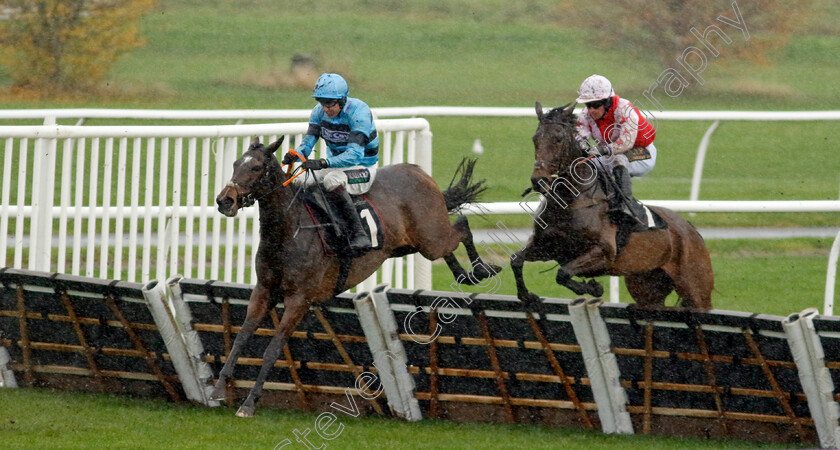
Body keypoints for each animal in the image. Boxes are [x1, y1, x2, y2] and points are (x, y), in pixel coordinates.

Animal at [213, 138, 498, 418]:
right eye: (236, 163)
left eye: (256, 167)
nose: (224, 200)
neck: (289, 230)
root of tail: (416, 170)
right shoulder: (264, 290)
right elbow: (241, 338)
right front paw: (217, 389)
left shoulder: (299, 299)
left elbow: (273, 348)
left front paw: (249, 403)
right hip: (410, 244)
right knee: (450, 242)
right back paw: (465, 274)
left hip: (431, 239)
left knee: (462, 226)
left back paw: (482, 270)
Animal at [508, 104, 712, 310]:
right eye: (535, 139)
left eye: (558, 139)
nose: (538, 180)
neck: (571, 202)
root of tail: (691, 230)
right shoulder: (547, 246)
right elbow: (516, 259)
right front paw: (527, 295)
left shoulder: (604, 252)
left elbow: (563, 273)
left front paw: (593, 287)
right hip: (646, 287)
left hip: (695, 288)